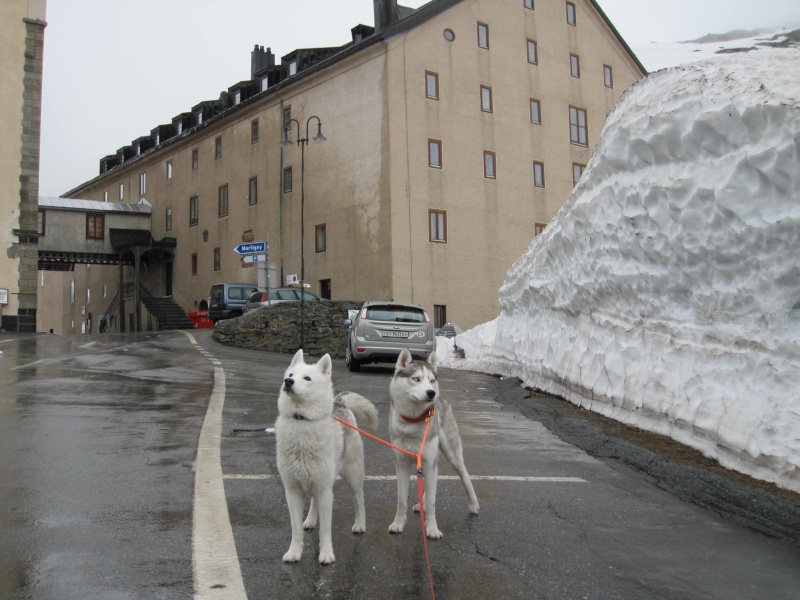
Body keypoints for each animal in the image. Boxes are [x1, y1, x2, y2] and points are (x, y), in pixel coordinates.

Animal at [276, 350, 378, 564]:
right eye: (291, 375)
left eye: (307, 378)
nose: (288, 382)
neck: (302, 421)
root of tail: (339, 402)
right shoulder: (293, 491)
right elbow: (296, 529)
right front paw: (294, 552)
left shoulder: (325, 491)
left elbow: (325, 529)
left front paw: (326, 554)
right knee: (314, 504)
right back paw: (310, 520)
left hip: (352, 476)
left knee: (359, 500)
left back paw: (360, 524)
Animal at [386, 346, 478, 540]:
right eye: (416, 379)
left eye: (432, 380)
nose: (431, 393)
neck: (413, 422)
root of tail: (442, 399)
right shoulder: (402, 465)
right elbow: (401, 501)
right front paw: (398, 524)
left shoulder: (429, 462)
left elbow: (431, 504)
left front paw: (432, 529)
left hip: (452, 455)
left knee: (464, 475)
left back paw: (473, 503)